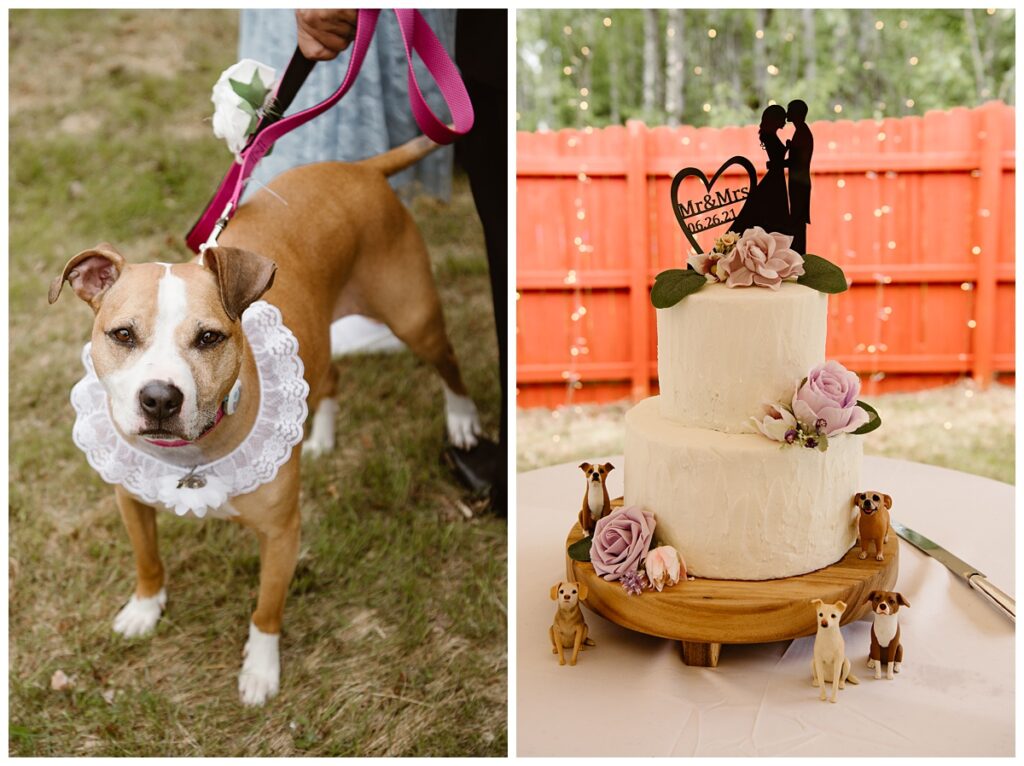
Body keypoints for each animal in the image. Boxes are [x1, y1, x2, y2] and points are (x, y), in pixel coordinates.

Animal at [52, 137, 487, 704]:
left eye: (209, 338)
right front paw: (144, 609)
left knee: (449, 363)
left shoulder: (282, 535)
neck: (193, 457)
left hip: (415, 317)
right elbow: (148, 559)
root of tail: (362, 169)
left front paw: (260, 671)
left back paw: (461, 421)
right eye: (123, 335)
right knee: (331, 377)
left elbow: (266, 609)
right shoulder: (131, 501)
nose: (160, 399)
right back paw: (321, 436)